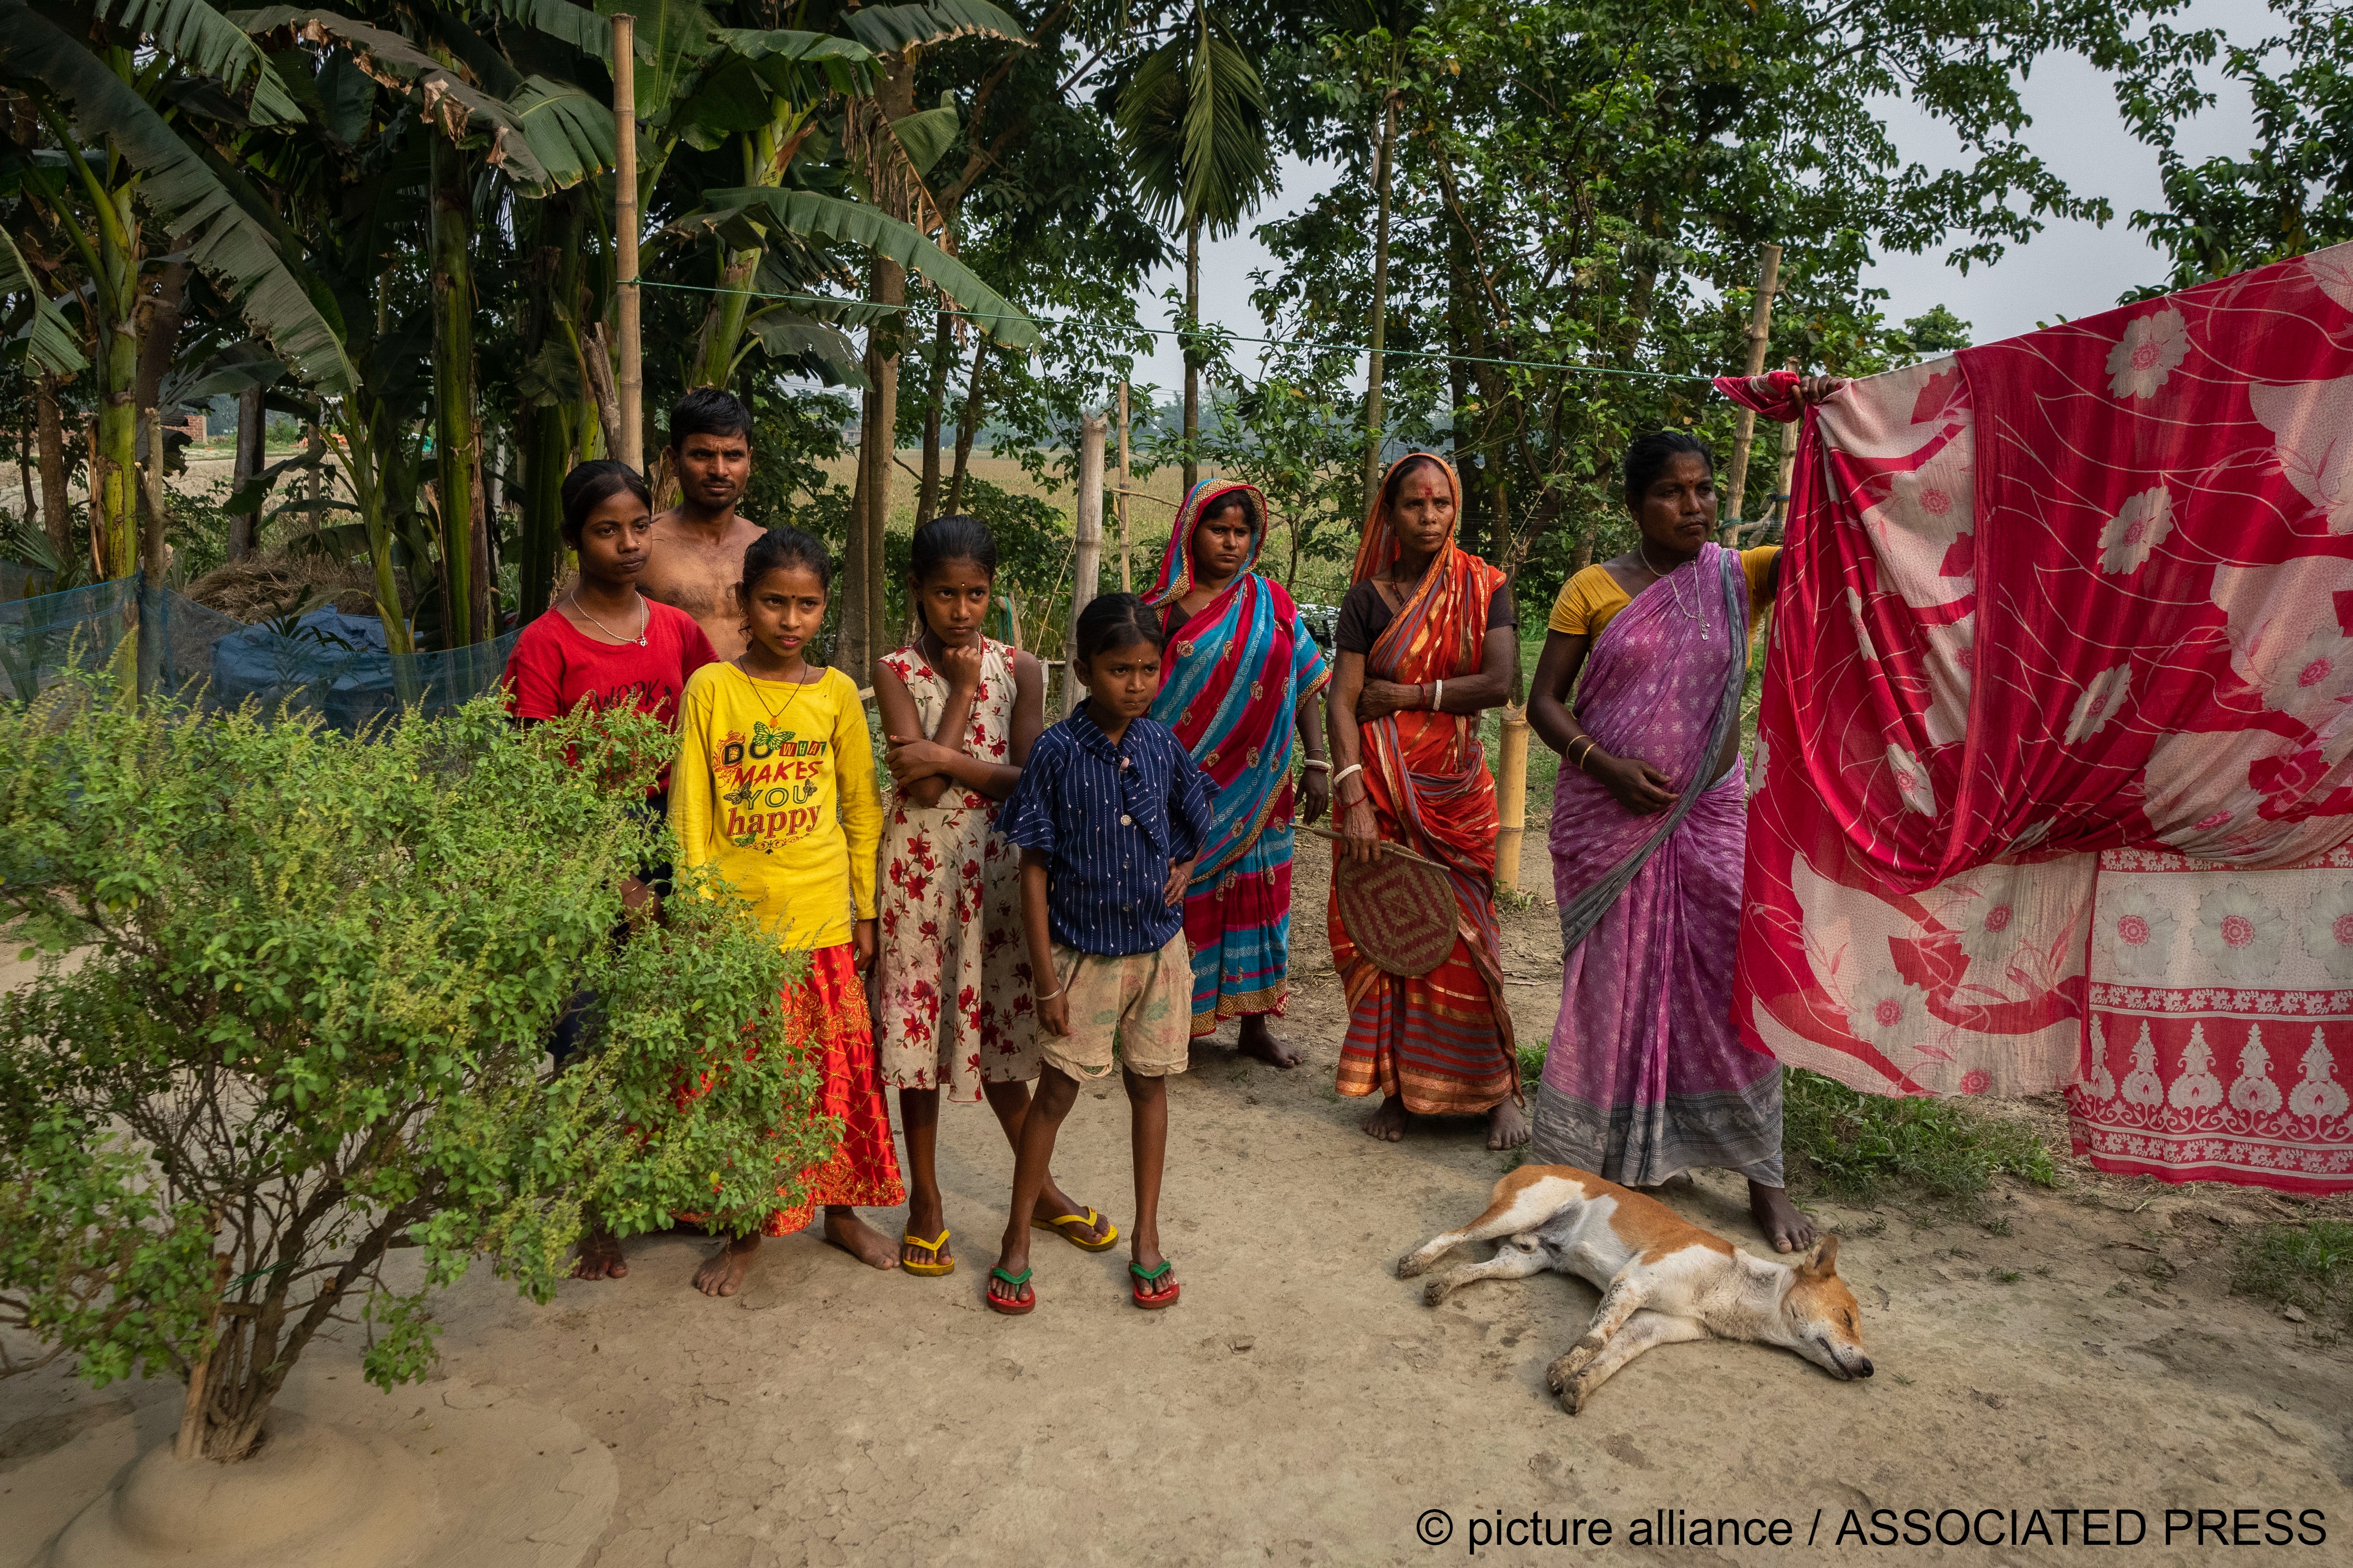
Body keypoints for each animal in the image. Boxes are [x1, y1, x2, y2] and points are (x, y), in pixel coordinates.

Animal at [1393, 1158, 1873, 1403]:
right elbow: (1595, 1339)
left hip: (1525, 1259)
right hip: (1517, 1211)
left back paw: (1444, 1284)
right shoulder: (1633, 1281)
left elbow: (1612, 1357)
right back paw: (1418, 1261)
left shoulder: (1651, 1326)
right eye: (1847, 1317)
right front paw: (1563, 1369)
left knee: (1474, 1268)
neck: (1732, 1288)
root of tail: (1531, 1159)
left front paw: (1581, 1384)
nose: (1870, 1368)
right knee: (1454, 1235)